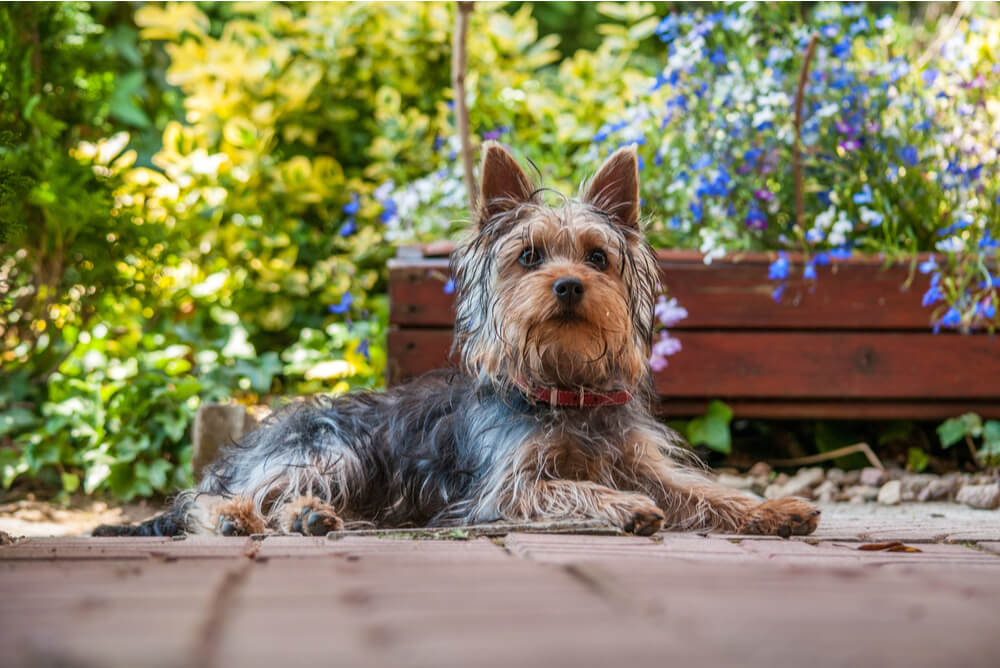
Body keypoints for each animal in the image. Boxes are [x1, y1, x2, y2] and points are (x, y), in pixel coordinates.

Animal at [95, 142, 820, 536]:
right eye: (529, 256)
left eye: (597, 257)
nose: (568, 285)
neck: (564, 388)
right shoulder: (509, 486)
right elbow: (569, 487)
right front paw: (625, 507)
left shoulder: (642, 460)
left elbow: (706, 493)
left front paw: (774, 508)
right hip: (332, 448)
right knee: (214, 498)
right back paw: (242, 517)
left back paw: (310, 518)